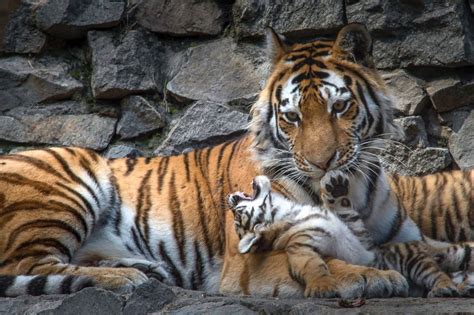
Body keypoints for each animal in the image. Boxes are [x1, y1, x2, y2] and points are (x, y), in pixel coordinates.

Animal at [0, 24, 472, 298]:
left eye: (340, 107)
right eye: (292, 117)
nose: (323, 164)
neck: (351, 189)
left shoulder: (409, 235)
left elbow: (446, 251)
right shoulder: (247, 262)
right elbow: (323, 259)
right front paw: (370, 276)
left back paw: (144, 268)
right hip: (73, 180)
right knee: (27, 266)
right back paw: (126, 279)